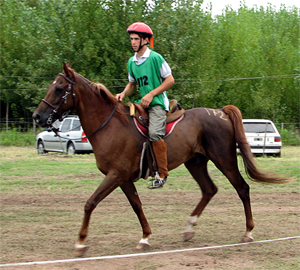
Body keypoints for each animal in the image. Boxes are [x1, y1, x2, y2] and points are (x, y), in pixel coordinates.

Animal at [32, 62, 290, 258]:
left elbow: (90, 203)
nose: (37, 116)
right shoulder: (123, 178)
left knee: (242, 188)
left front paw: (81, 243)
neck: (110, 126)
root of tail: (220, 112)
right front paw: (145, 237)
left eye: (59, 89)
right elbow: (136, 205)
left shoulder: (115, 175)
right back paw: (189, 228)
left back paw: (248, 232)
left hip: (224, 160)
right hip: (195, 162)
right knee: (209, 190)